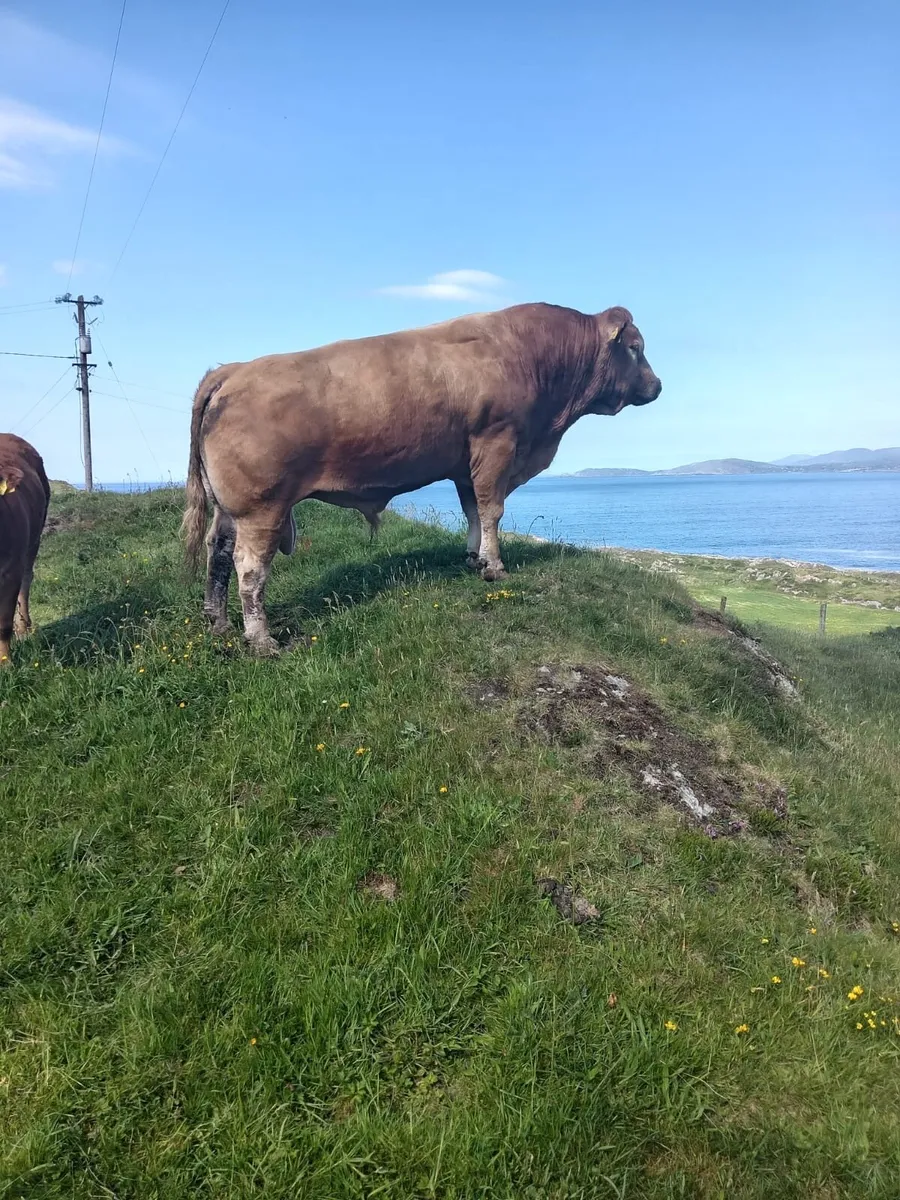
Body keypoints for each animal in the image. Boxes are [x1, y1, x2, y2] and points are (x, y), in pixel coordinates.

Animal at [182, 301, 661, 655]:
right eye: (635, 347)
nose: (656, 386)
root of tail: (233, 370)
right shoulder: (497, 443)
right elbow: (492, 508)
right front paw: (495, 567)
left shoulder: (468, 462)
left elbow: (472, 509)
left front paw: (473, 559)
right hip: (261, 508)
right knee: (249, 566)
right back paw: (262, 640)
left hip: (229, 508)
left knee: (217, 552)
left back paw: (218, 623)